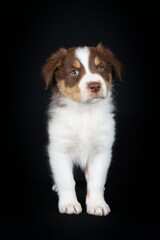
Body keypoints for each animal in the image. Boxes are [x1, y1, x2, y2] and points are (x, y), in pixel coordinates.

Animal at [42, 43, 122, 216]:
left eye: (101, 67)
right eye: (74, 72)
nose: (95, 85)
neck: (85, 113)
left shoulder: (101, 150)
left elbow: (96, 181)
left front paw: (97, 204)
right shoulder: (59, 149)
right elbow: (66, 180)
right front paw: (69, 204)